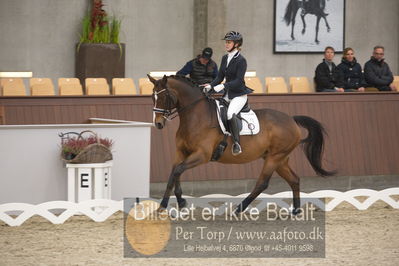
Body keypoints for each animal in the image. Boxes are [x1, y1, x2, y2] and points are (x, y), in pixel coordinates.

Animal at [148, 74, 336, 214]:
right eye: (152, 96)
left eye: (164, 96)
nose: (158, 124)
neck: (195, 116)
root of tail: (291, 120)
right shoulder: (181, 152)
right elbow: (174, 173)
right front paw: (171, 203)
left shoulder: (202, 155)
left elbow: (178, 170)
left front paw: (173, 203)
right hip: (279, 158)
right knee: (294, 179)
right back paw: (295, 211)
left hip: (275, 158)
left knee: (262, 183)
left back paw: (239, 209)